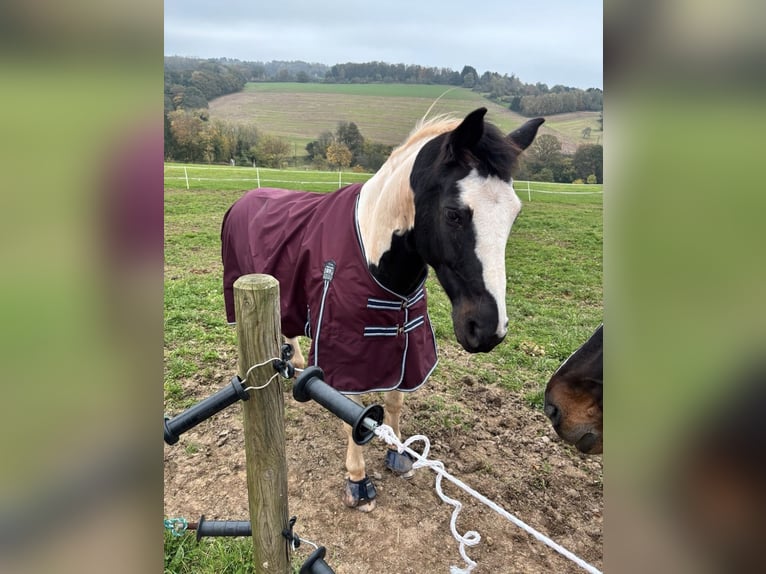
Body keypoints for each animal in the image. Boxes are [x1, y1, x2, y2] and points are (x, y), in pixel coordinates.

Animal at [222, 108, 544, 512]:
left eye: (514, 214)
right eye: (454, 214)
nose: (487, 330)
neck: (376, 259)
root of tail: (247, 197)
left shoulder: (404, 349)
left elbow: (394, 401)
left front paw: (399, 454)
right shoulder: (345, 356)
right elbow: (354, 417)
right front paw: (357, 480)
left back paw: (292, 361)